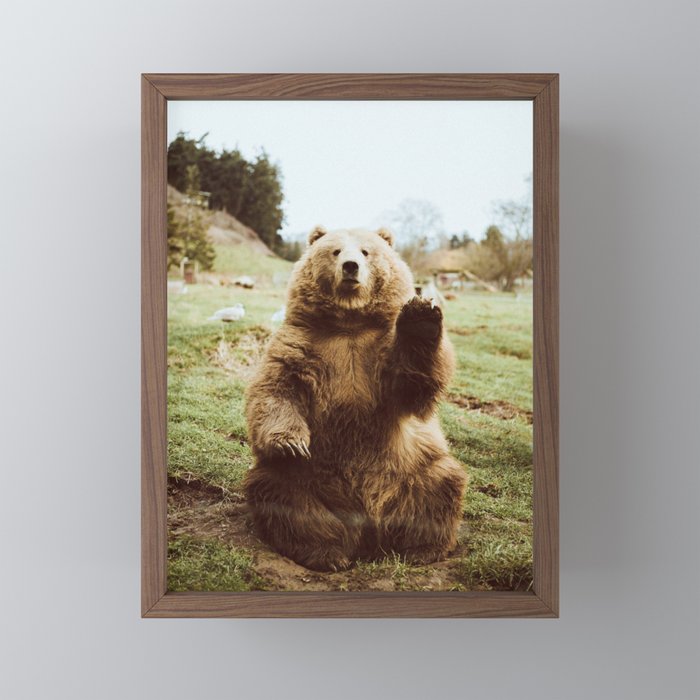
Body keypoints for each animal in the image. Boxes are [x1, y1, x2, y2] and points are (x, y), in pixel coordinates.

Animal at [242, 225, 467, 572]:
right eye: (335, 251)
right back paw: (327, 553)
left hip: (412, 467)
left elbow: (412, 384)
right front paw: (291, 443)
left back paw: (421, 549)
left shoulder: (378, 354)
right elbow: (276, 389)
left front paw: (420, 316)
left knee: (440, 484)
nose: (350, 267)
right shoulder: (300, 345)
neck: (349, 323)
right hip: (309, 479)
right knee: (281, 494)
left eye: (365, 251)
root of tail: (368, 529)